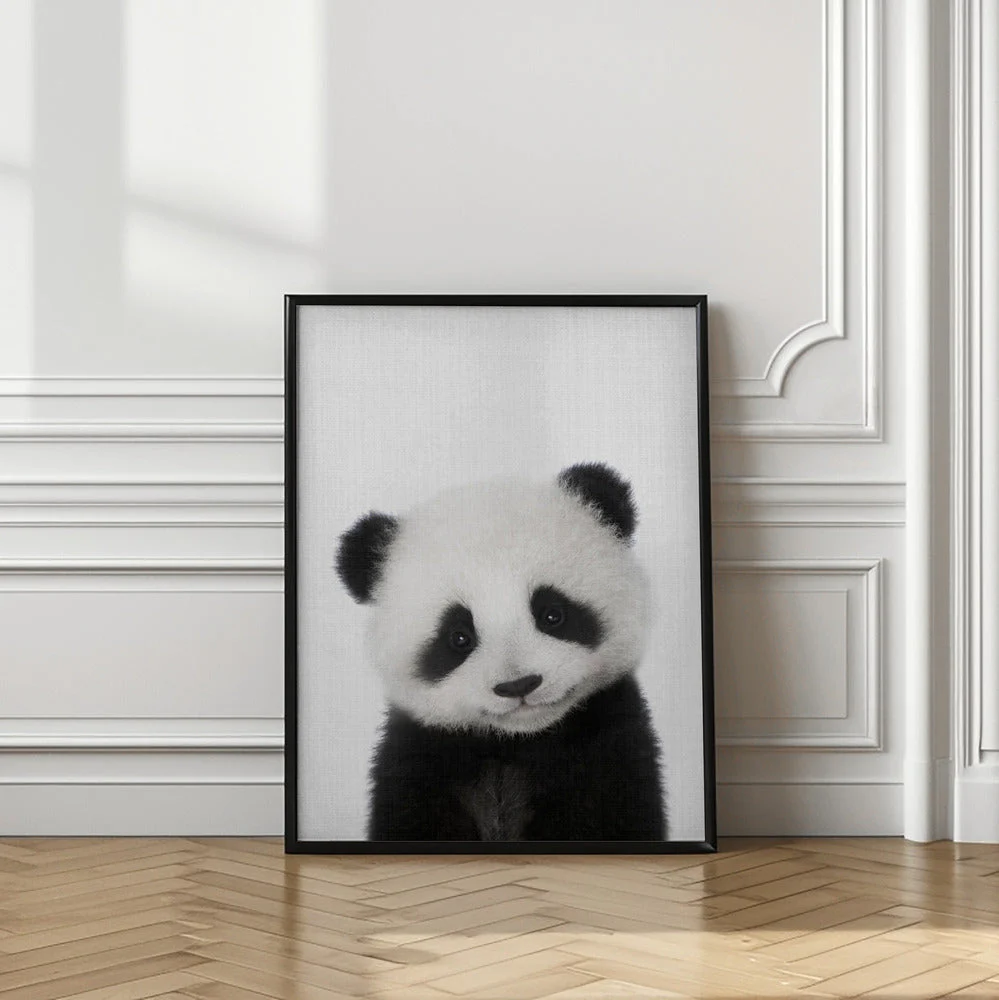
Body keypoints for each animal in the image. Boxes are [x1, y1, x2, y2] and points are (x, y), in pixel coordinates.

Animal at [335, 462, 665, 842]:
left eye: (552, 614)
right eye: (459, 637)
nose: (518, 685)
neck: (515, 742)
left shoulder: (607, 748)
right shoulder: (420, 760)